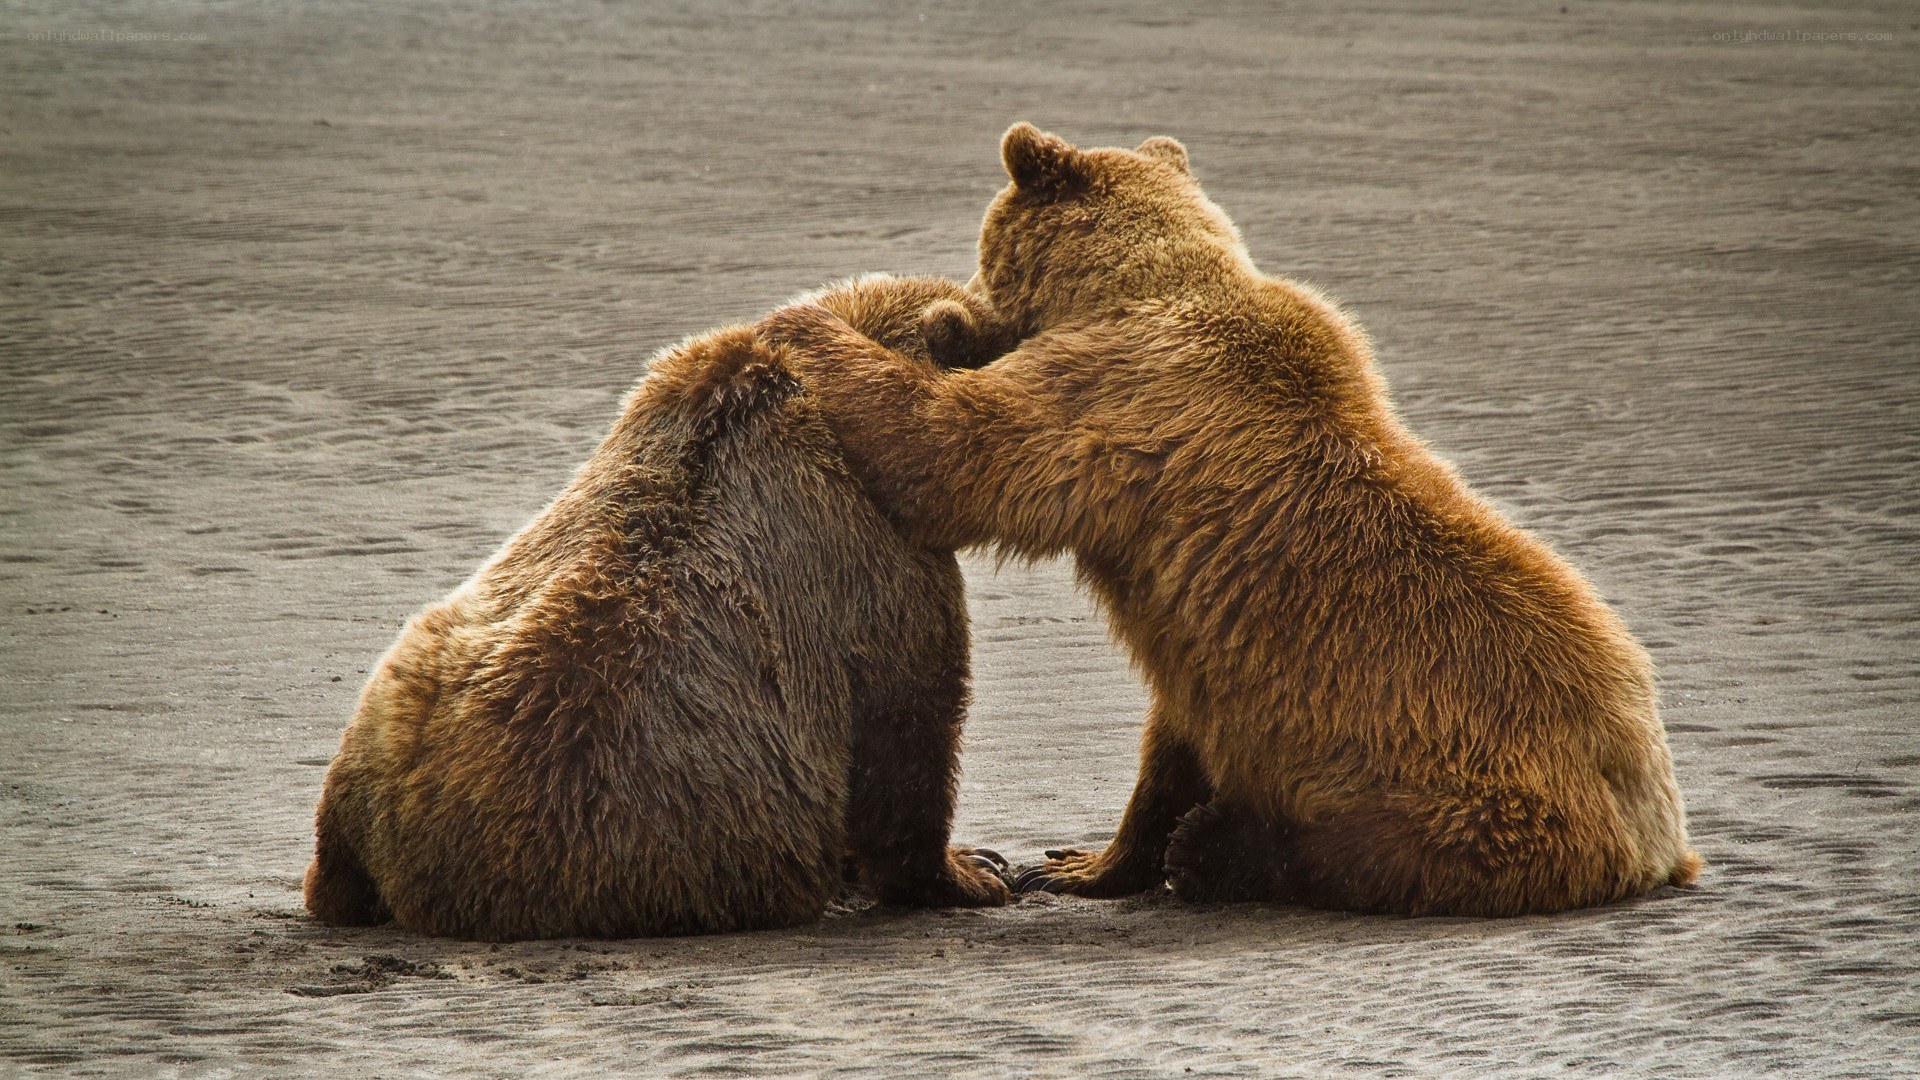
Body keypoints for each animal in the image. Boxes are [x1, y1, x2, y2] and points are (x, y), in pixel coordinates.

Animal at [754, 124, 1702, 917]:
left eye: (984, 248)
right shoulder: (1201, 647)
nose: (966, 305)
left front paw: (806, 318)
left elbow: (947, 450)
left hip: (1471, 798)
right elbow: (1168, 743)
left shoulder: (1114, 398)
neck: (1137, 288)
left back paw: (1222, 851)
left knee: (1376, 850)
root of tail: (1661, 839)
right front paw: (1080, 862)